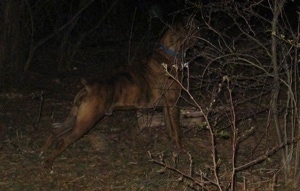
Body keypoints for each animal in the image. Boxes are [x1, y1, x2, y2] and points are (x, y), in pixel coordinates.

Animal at [39, 18, 199, 169]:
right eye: (193, 28)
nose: (200, 29)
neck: (168, 53)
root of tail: (89, 86)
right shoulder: (173, 104)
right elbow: (177, 130)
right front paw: (181, 150)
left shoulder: (166, 106)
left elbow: (170, 129)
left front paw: (174, 147)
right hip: (86, 121)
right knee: (63, 140)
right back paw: (48, 163)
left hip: (75, 116)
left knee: (55, 131)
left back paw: (42, 151)